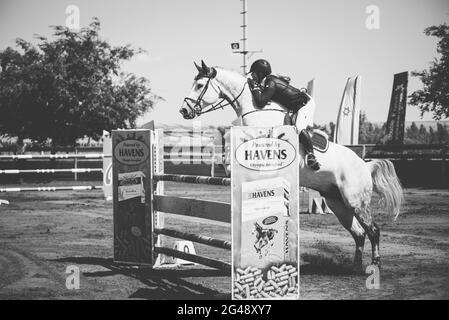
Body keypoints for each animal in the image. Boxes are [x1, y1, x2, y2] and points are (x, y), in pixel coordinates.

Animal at [178, 59, 402, 270]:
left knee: (373, 230)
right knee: (358, 233)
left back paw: (375, 265)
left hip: (355, 201)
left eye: (199, 85)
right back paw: (355, 266)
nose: (183, 110)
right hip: (337, 203)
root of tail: (365, 166)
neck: (256, 110)